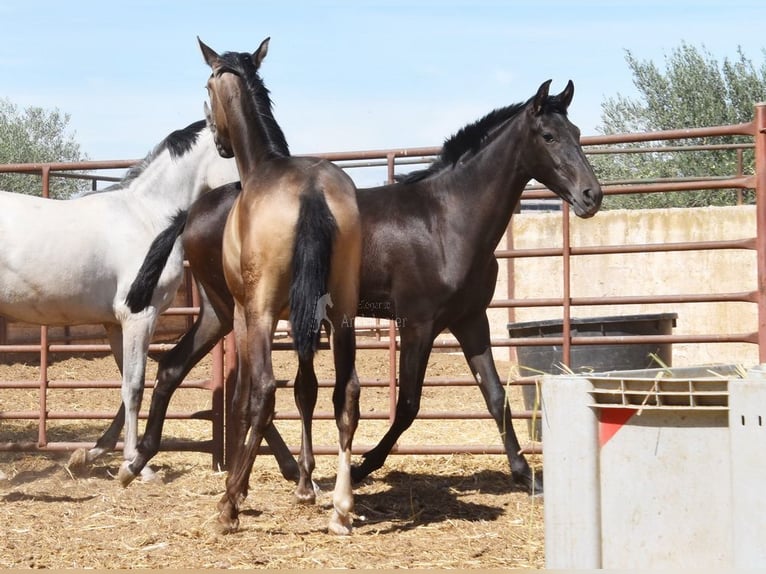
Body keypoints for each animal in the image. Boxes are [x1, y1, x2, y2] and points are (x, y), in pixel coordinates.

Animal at [109, 79, 600, 498]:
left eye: (576, 132)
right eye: (549, 136)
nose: (591, 196)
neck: (446, 218)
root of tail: (192, 211)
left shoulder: (470, 320)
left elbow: (496, 397)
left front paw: (527, 476)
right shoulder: (419, 323)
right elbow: (408, 404)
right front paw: (364, 467)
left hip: (219, 311)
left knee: (176, 368)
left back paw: (143, 462)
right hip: (237, 309)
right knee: (230, 385)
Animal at [189, 38, 364, 536]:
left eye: (206, 87)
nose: (217, 139)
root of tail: (312, 191)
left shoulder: (247, 314)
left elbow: (246, 397)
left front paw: (238, 489)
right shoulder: (304, 318)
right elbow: (306, 390)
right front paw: (305, 484)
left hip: (263, 312)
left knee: (264, 392)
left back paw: (227, 505)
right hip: (342, 313)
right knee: (347, 393)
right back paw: (341, 508)